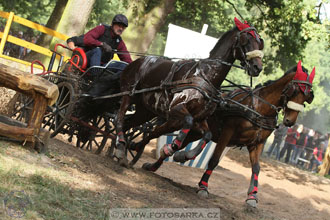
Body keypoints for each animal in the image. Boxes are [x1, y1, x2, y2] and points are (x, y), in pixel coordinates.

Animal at [114, 17, 264, 168]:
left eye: (260, 43)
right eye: (246, 40)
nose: (257, 67)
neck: (205, 76)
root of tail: (137, 61)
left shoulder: (200, 118)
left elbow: (207, 134)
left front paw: (184, 154)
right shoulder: (176, 108)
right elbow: (187, 121)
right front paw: (172, 147)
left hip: (145, 111)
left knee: (129, 124)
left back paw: (123, 150)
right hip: (128, 94)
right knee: (119, 119)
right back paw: (121, 146)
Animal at [171, 60, 316, 208]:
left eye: (308, 95)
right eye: (295, 90)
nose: (289, 121)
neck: (259, 108)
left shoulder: (257, 143)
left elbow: (256, 168)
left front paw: (252, 196)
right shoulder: (227, 133)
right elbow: (214, 160)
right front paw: (203, 187)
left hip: (195, 133)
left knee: (183, 143)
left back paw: (178, 155)